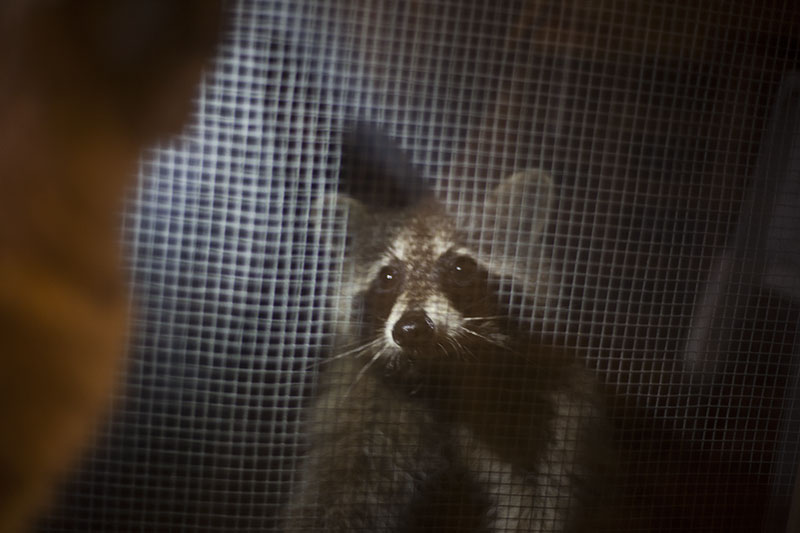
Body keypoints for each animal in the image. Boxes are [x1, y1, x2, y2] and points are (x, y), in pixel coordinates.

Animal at [288, 135, 612, 528]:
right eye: (388, 276)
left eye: (459, 267)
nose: (411, 329)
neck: (442, 371)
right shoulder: (367, 400)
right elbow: (338, 494)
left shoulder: (545, 397)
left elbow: (538, 502)